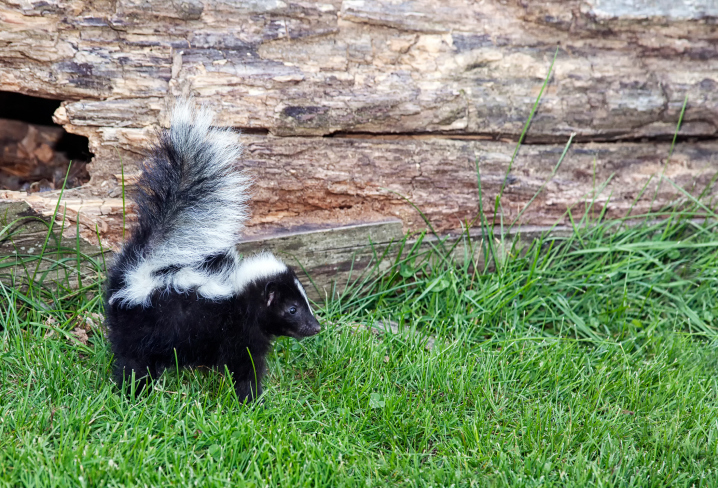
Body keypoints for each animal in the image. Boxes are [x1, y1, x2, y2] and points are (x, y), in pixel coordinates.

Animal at [104, 99, 320, 400]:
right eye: (292, 309)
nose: (315, 327)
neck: (241, 295)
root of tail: (136, 271)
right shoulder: (238, 332)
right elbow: (245, 365)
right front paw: (251, 398)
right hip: (141, 324)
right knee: (132, 359)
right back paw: (135, 389)